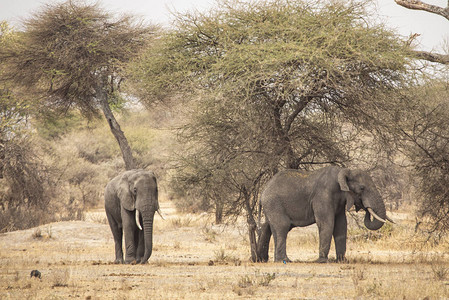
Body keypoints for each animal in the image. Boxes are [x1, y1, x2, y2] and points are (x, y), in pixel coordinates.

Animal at [258, 166, 394, 262]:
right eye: (362, 188)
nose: (364, 206)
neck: (344, 171)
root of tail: (263, 191)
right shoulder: (323, 196)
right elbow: (327, 223)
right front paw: (322, 261)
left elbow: (341, 226)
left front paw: (341, 261)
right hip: (274, 204)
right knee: (283, 226)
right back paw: (285, 260)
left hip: (271, 206)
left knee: (270, 227)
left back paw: (271, 260)